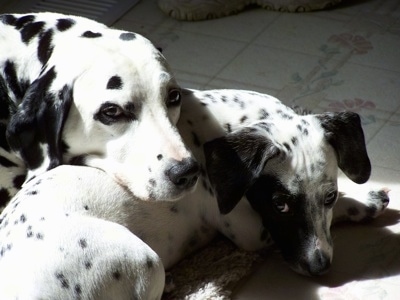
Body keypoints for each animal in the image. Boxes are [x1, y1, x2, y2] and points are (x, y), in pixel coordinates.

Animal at [0, 88, 390, 298]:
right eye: (280, 204)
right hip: (144, 260)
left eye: (329, 196)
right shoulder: (251, 232)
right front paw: (365, 202)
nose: (320, 267)